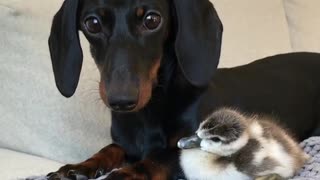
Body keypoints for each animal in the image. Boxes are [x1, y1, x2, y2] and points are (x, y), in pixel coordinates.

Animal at [47, 0, 320, 179]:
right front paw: (79, 167)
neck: (149, 113)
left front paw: (121, 175)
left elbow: (155, 160)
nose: (122, 100)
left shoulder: (186, 147)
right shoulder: (126, 145)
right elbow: (110, 149)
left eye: (152, 19)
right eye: (92, 23)